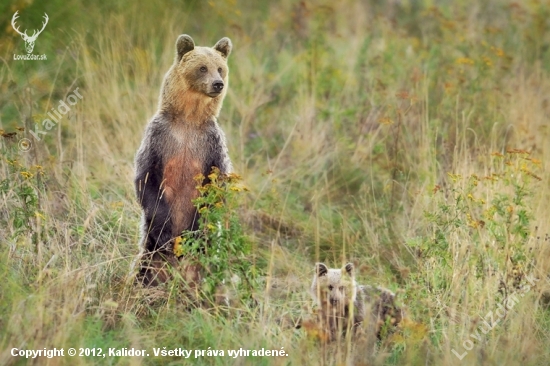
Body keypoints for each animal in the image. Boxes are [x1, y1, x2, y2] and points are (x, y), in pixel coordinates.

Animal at [137, 34, 235, 286]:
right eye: (202, 68)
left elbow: (216, 186)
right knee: (144, 268)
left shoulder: (210, 144)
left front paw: (194, 228)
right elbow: (147, 178)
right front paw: (165, 229)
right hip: (149, 250)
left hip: (209, 260)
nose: (217, 84)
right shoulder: (159, 138)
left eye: (220, 68)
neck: (188, 121)